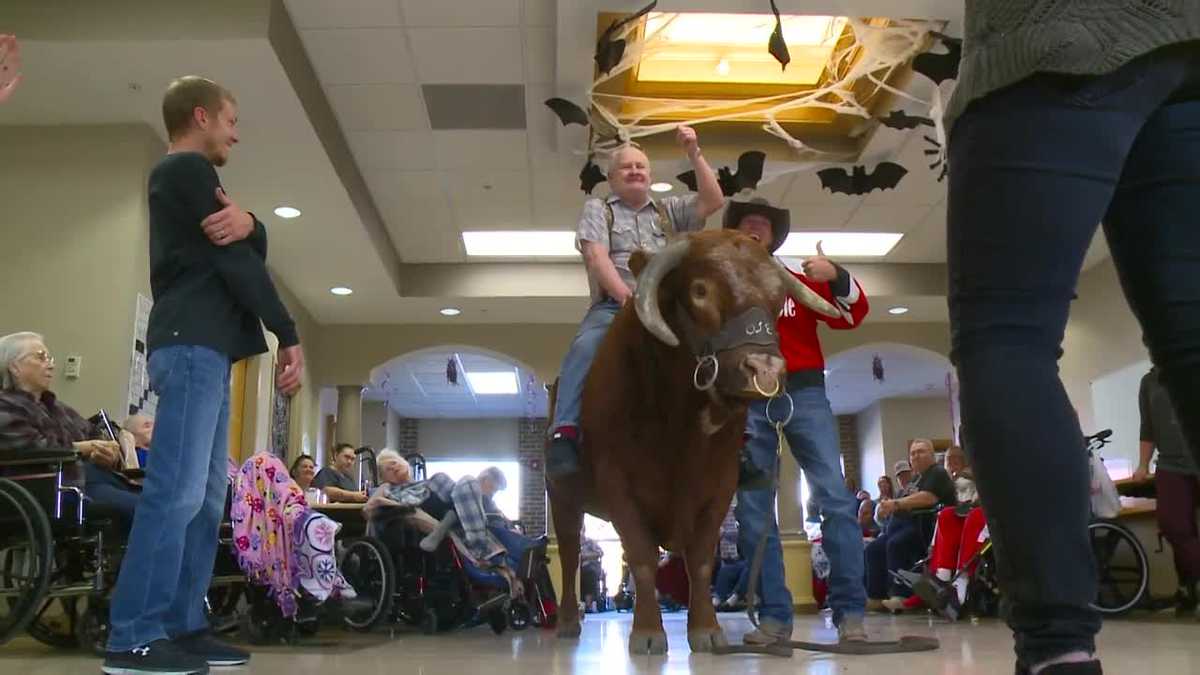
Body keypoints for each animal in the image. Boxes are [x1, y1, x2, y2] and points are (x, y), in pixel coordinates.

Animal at [547, 229, 844, 654]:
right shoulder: (617, 484)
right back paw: (569, 622)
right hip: (562, 497)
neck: (680, 428)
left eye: (776, 298)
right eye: (700, 290)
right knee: (570, 554)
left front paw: (706, 629)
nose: (765, 370)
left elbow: (701, 561)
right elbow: (641, 558)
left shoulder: (719, 486)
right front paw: (648, 633)